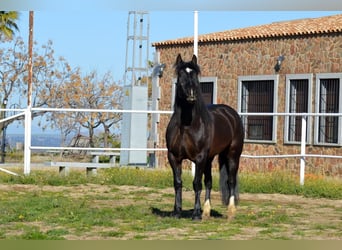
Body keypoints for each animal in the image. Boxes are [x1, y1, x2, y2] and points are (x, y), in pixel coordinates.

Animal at [165, 53, 243, 220]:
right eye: (181, 75)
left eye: (195, 74)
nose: (191, 94)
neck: (186, 126)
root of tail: (231, 114)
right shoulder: (174, 157)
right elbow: (178, 182)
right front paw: (177, 211)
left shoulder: (199, 158)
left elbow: (196, 183)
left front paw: (195, 213)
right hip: (210, 158)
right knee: (209, 182)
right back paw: (206, 211)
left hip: (233, 155)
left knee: (231, 181)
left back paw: (231, 211)